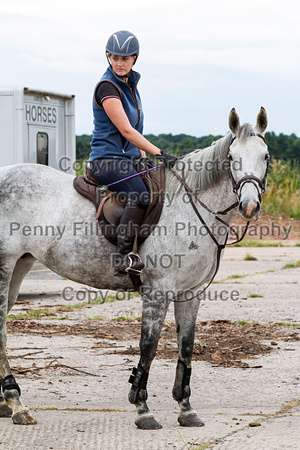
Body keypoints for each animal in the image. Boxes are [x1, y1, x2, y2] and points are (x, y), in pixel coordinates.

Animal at [0, 108, 270, 428]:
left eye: (266, 156)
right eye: (231, 158)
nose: (249, 205)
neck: (189, 205)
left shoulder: (191, 293)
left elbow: (186, 346)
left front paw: (186, 409)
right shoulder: (158, 291)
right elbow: (149, 346)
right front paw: (142, 408)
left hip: (21, 263)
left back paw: (7, 403)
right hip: (5, 264)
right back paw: (16, 403)